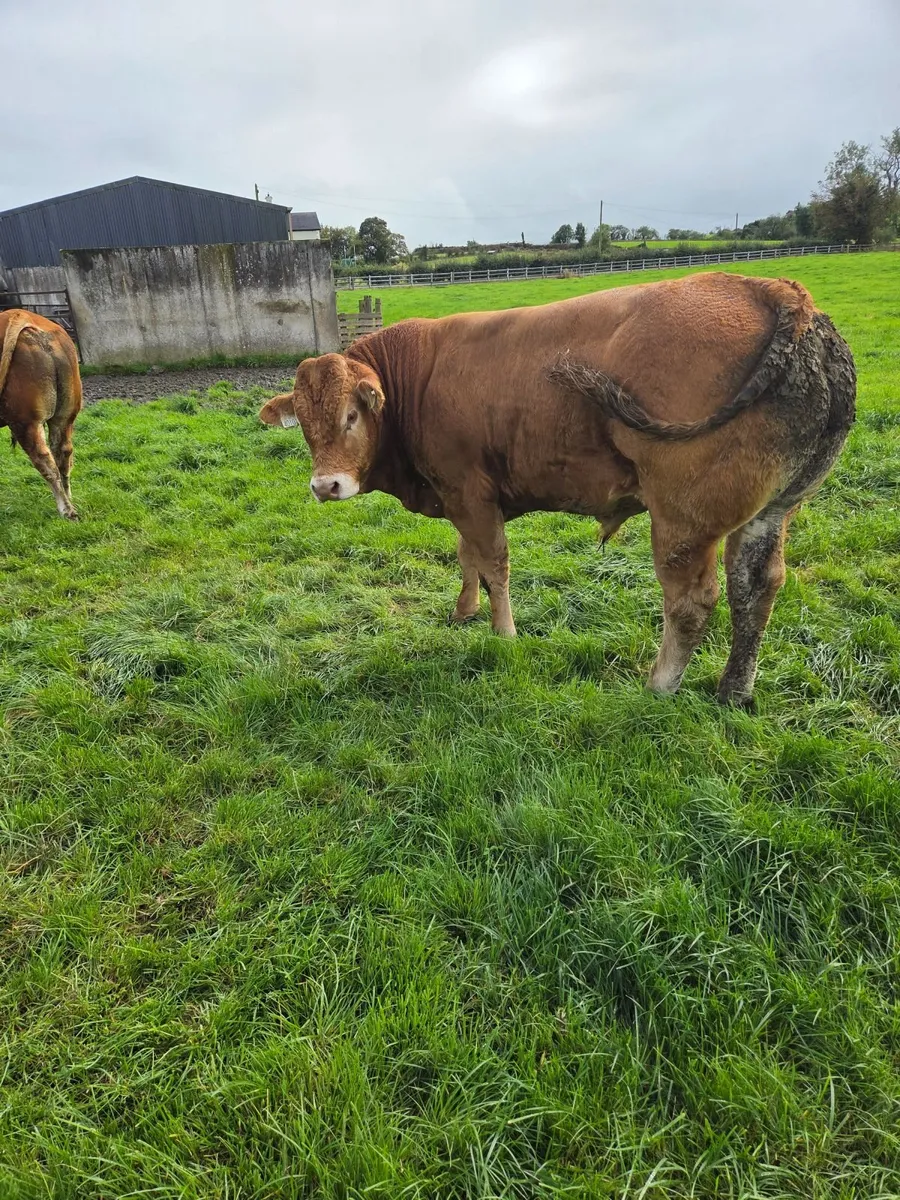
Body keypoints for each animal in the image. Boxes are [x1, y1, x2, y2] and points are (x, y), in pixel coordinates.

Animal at [0, 309, 82, 519]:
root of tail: (22, 315)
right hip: (65, 415)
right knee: (63, 455)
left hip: (25, 421)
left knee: (45, 461)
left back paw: (66, 510)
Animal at [260, 272, 855, 706]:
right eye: (305, 424)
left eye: (352, 414)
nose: (326, 485)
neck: (416, 381)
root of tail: (780, 292)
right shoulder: (459, 495)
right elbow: (467, 557)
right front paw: (463, 611)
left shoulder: (470, 491)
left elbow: (493, 563)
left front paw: (503, 633)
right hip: (773, 510)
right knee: (756, 589)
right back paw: (734, 690)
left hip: (683, 520)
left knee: (692, 602)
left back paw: (659, 686)